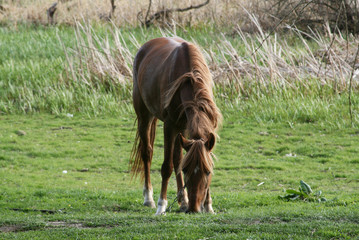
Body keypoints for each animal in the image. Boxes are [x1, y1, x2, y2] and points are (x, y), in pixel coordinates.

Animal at [131, 37, 222, 216]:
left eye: (207, 172)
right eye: (187, 170)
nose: (194, 209)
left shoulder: (206, 130)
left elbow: (194, 159)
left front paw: (208, 205)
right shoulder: (170, 126)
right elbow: (167, 166)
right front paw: (161, 206)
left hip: (182, 130)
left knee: (177, 157)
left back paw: (183, 201)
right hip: (145, 116)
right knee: (147, 153)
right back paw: (149, 198)